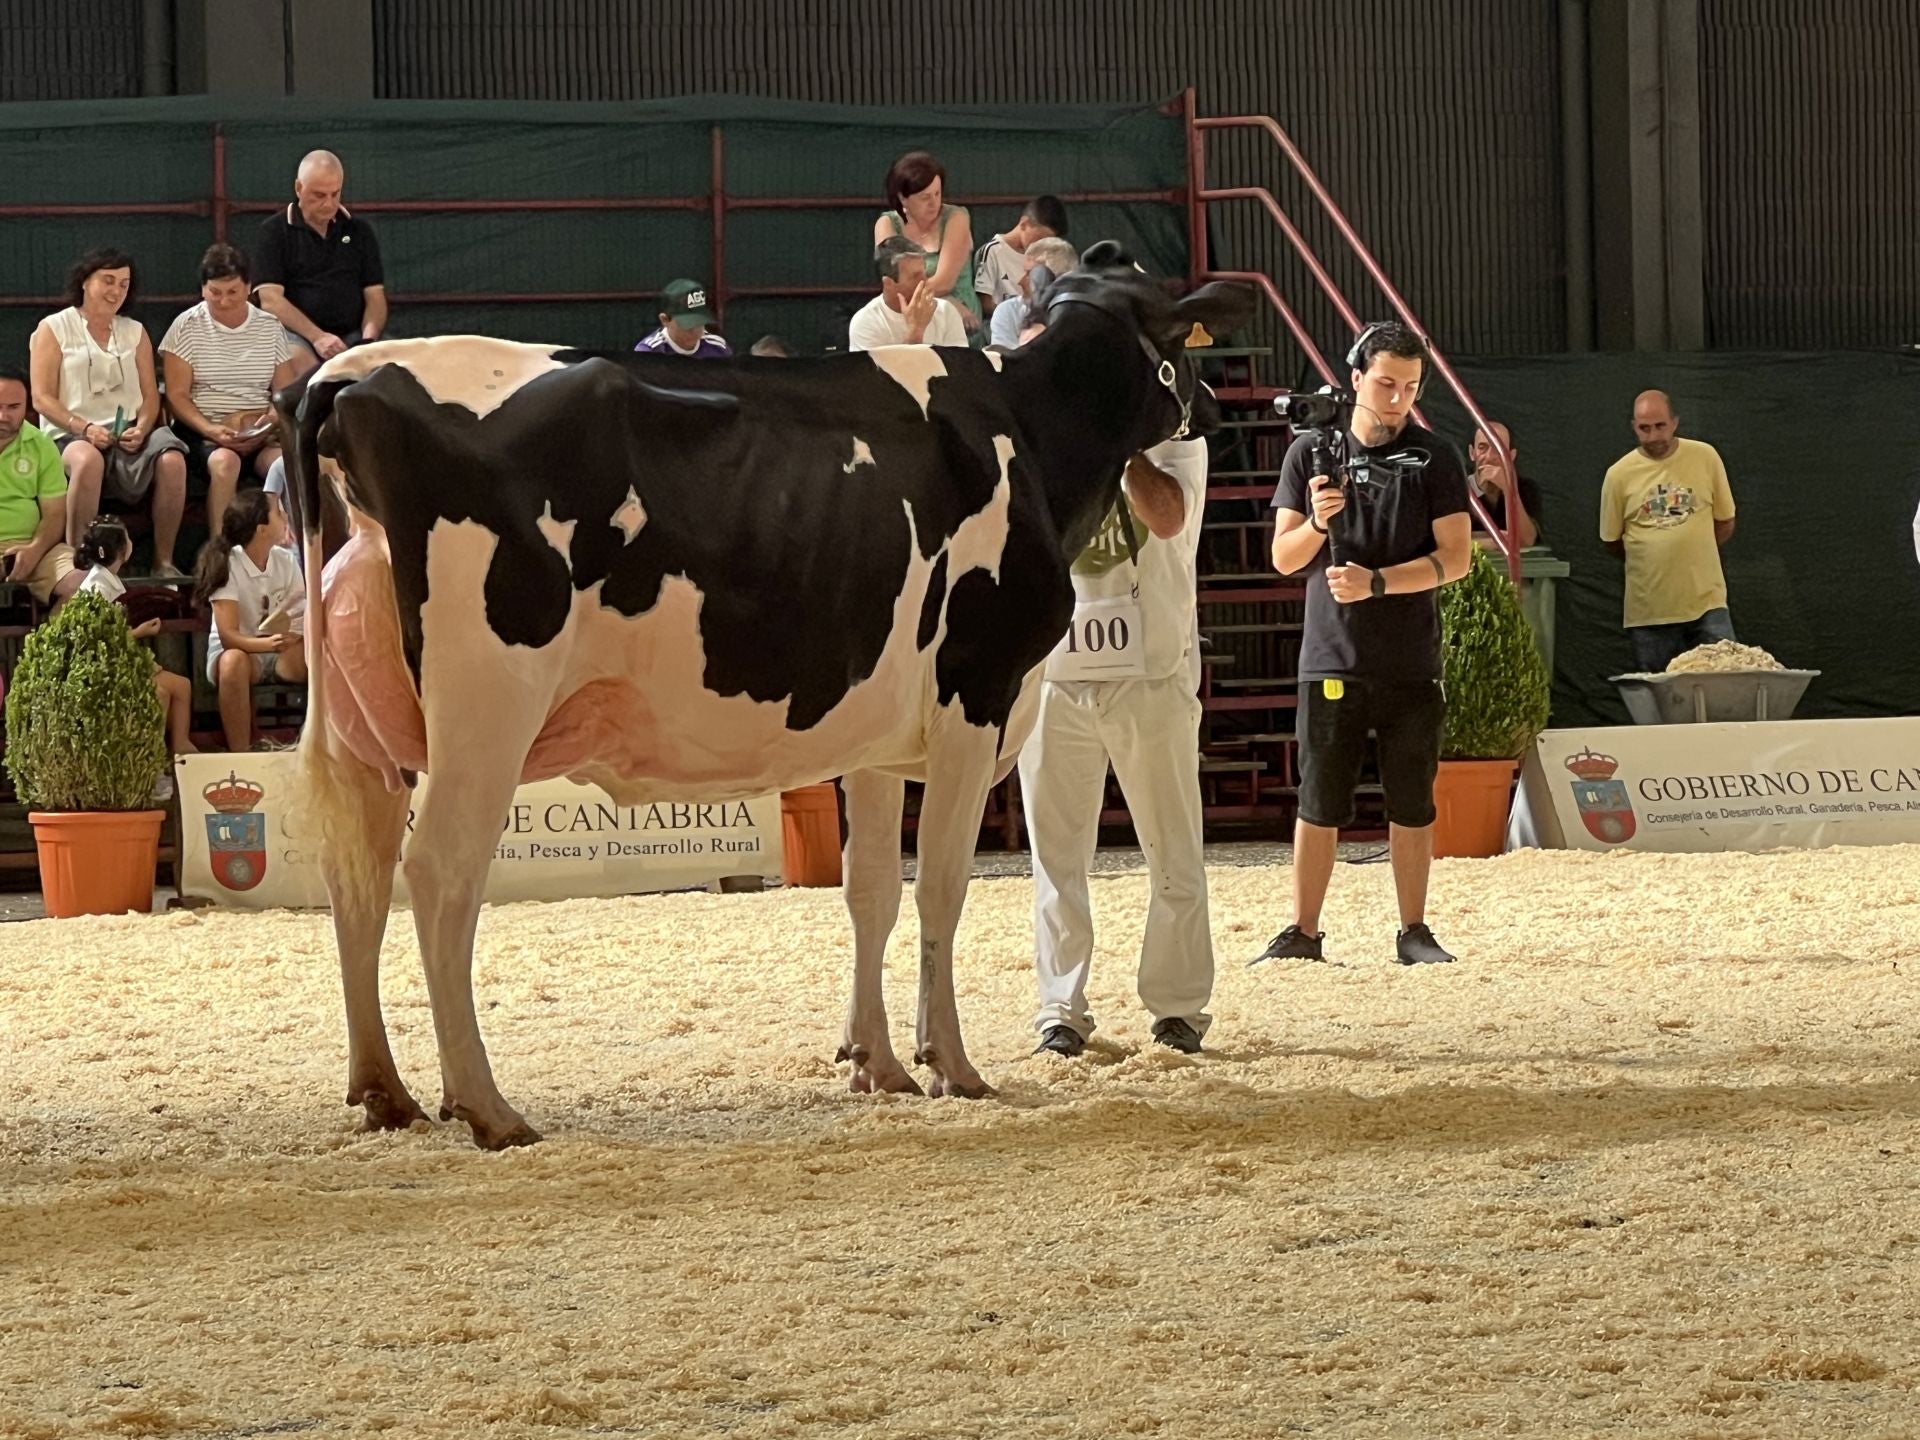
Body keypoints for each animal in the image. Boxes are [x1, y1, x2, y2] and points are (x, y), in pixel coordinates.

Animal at [277, 258, 1255, 1149]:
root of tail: (357, 372)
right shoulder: (974, 697)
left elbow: (871, 891)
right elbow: (942, 889)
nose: (1215, 411)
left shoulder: (872, 737)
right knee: (441, 872)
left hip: (369, 732)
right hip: (488, 706)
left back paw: (384, 1092)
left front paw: (876, 1063)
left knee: (357, 873)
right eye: (1180, 341)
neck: (1030, 431)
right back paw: (486, 1106)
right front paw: (951, 1064)